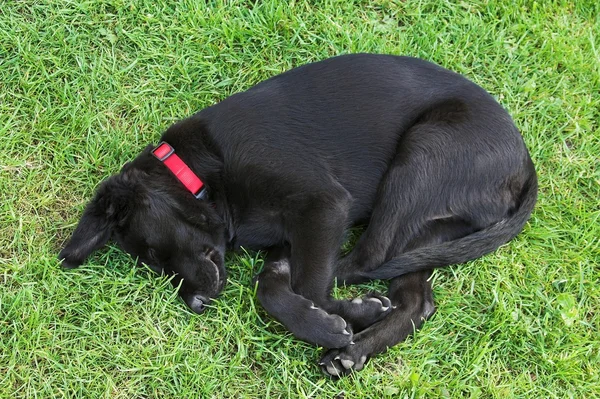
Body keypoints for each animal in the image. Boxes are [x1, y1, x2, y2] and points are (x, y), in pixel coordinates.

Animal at [61, 54, 536, 378]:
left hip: (418, 156)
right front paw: (331, 324)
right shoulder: (291, 237)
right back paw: (352, 352)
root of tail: (525, 163)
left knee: (368, 261)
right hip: (427, 227)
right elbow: (271, 289)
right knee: (416, 300)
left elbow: (308, 284)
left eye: (157, 256)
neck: (202, 170)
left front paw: (346, 316)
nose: (195, 304)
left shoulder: (322, 206)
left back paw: (358, 323)